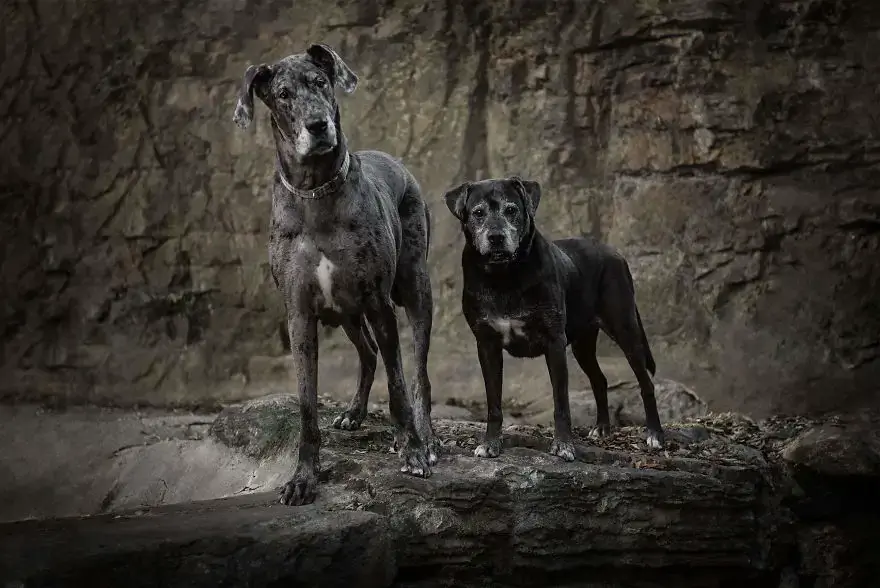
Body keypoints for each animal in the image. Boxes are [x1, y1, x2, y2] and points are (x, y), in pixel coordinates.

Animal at [234, 44, 436, 506]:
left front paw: (412, 451)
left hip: (415, 289)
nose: (317, 124)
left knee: (417, 374)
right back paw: (355, 413)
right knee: (368, 354)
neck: (315, 193)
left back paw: (427, 438)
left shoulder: (379, 305)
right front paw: (303, 477)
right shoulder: (300, 316)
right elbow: (307, 405)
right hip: (346, 313)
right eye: (283, 94)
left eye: (321, 82)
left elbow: (398, 388)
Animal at [444, 175, 664, 460]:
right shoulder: (487, 345)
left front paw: (563, 445)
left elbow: (561, 402)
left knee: (646, 382)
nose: (496, 237)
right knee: (600, 380)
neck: (504, 276)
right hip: (583, 344)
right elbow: (493, 402)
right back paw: (601, 428)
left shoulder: (554, 343)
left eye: (511, 210)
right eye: (478, 213)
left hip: (625, 330)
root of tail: (616, 253)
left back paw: (655, 435)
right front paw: (491, 443)